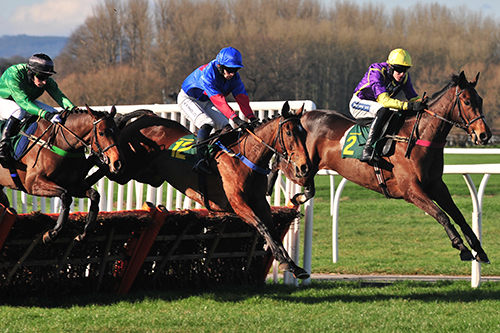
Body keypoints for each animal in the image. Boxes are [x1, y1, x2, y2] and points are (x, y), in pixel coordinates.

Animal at [0, 105, 123, 241]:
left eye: (118, 131)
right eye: (101, 133)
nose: (117, 163)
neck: (61, 144)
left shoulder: (74, 185)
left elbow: (94, 195)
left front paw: (84, 233)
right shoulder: (33, 183)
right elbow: (65, 196)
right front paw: (52, 233)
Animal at [88, 101, 310, 278]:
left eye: (305, 132)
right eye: (289, 132)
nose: (305, 166)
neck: (247, 155)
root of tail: (146, 117)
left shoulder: (260, 202)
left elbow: (272, 230)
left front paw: (293, 266)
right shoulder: (238, 203)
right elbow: (263, 227)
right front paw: (285, 262)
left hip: (146, 175)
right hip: (125, 167)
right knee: (106, 167)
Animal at [270, 71, 492, 264]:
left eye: (480, 100)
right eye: (467, 101)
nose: (484, 135)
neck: (418, 136)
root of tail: (302, 117)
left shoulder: (436, 185)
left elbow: (458, 215)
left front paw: (479, 249)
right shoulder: (411, 190)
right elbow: (442, 215)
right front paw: (461, 247)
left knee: (305, 184)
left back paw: (301, 195)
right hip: (301, 166)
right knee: (280, 162)